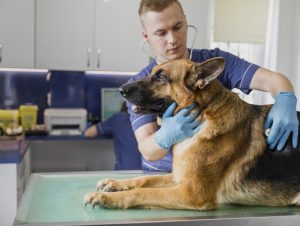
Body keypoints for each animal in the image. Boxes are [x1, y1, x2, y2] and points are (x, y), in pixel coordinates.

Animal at [84, 57, 300, 209]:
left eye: (161, 77)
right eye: (152, 73)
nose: (121, 89)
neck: (203, 115)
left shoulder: (191, 193)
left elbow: (142, 192)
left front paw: (106, 197)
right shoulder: (179, 178)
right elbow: (144, 180)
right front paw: (113, 183)